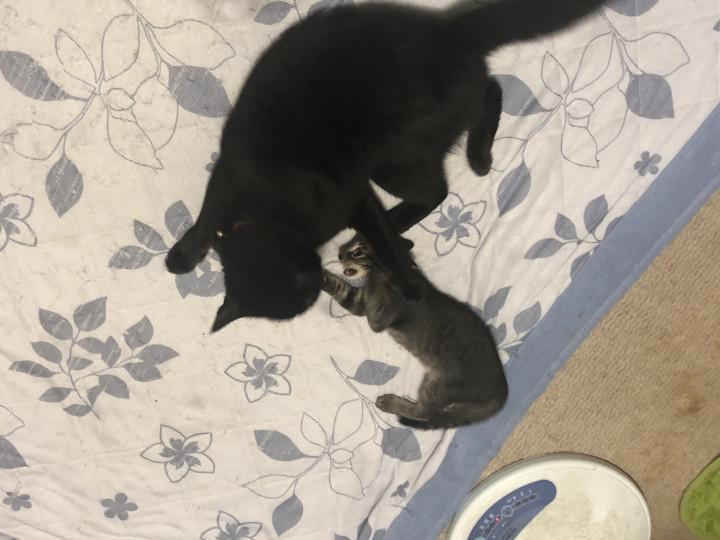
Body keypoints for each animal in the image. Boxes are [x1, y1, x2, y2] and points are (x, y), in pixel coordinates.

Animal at [166, 0, 608, 331]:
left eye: (305, 289)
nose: (317, 277)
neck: (259, 210)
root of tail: (447, 33)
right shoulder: (222, 184)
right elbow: (203, 223)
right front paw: (180, 257)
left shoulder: (351, 196)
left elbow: (381, 237)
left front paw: (410, 286)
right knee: (485, 97)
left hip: (392, 160)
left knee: (450, 165)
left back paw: (476, 161)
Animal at [322, 236, 508, 429]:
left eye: (357, 252)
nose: (339, 254)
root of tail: (502, 390)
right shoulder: (361, 301)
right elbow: (341, 287)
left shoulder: (378, 316)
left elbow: (373, 285)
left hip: (440, 388)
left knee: (425, 413)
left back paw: (390, 403)